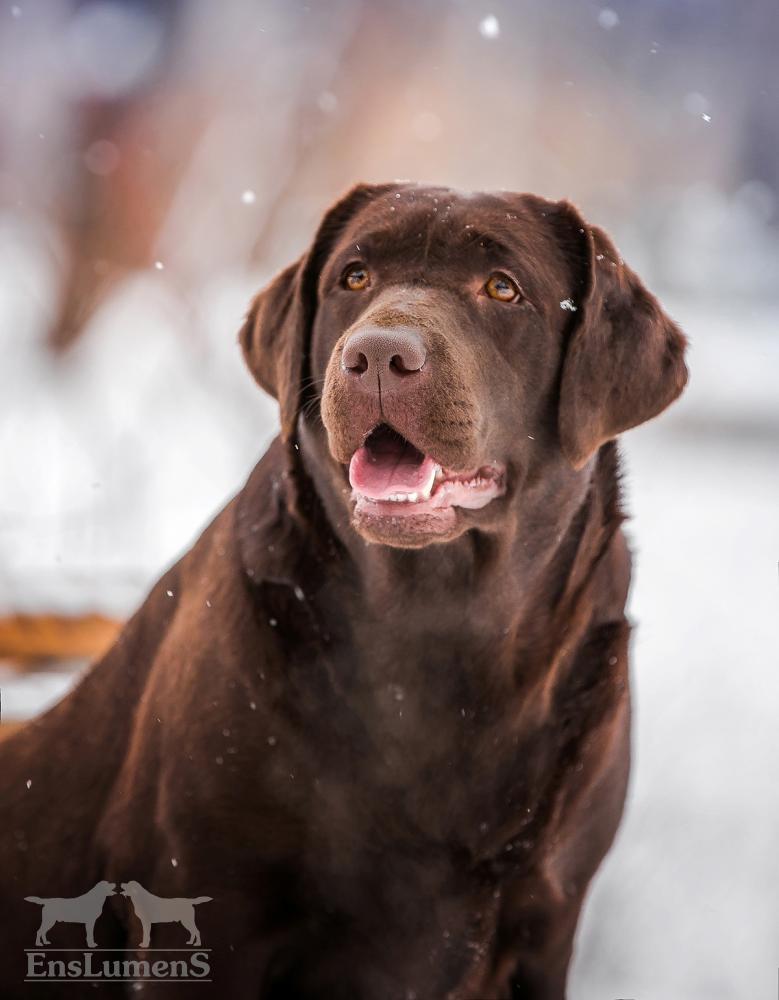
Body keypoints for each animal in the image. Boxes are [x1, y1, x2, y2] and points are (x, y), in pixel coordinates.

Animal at [0, 184, 688, 996]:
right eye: (354, 278)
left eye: (502, 288)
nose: (378, 355)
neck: (439, 633)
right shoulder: (208, 905)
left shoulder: (546, 926)